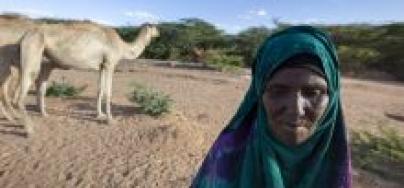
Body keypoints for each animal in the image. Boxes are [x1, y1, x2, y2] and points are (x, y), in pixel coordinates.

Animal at [17, 20, 159, 134]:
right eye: (154, 27)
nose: (159, 33)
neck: (122, 46)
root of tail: (26, 35)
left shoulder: (102, 66)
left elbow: (100, 90)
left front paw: (100, 115)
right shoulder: (110, 64)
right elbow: (108, 92)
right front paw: (110, 120)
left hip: (47, 62)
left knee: (40, 83)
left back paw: (42, 113)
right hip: (34, 54)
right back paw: (30, 126)